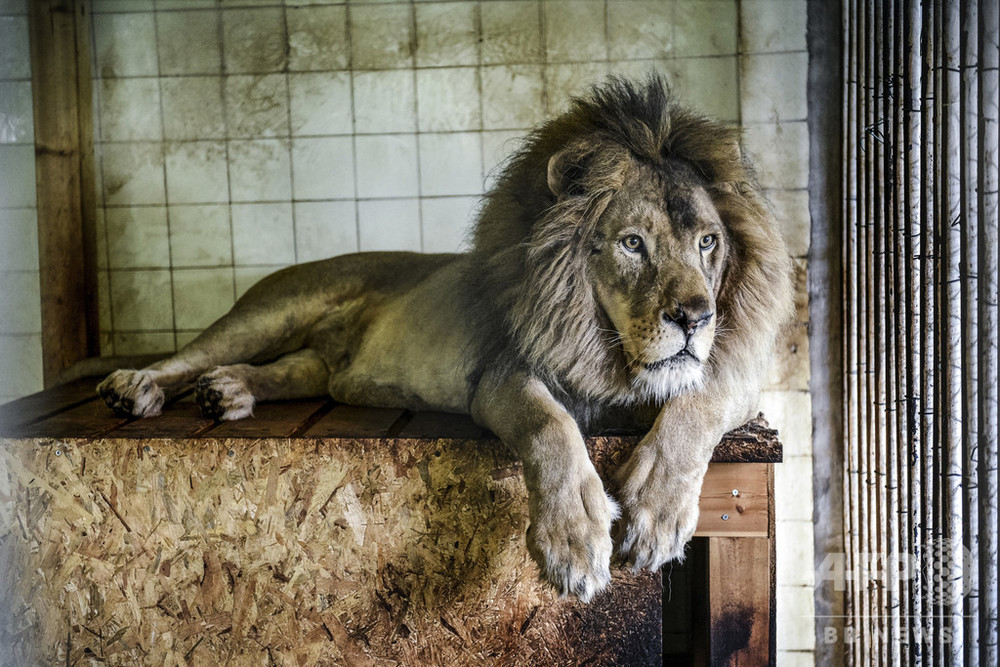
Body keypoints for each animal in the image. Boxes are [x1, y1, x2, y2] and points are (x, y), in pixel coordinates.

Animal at [97, 78, 792, 604]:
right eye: (632, 243)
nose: (696, 319)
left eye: (708, 242)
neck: (614, 354)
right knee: (190, 354)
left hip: (314, 366)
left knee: (284, 370)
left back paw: (229, 393)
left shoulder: (733, 380)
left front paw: (655, 513)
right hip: (271, 311)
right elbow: (549, 427)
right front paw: (574, 541)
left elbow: (696, 406)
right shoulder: (503, 375)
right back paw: (136, 388)